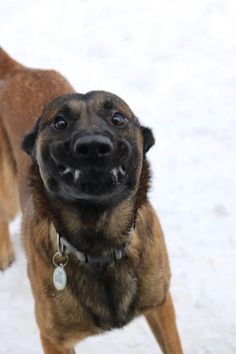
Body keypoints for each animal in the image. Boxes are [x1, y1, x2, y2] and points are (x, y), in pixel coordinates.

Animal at [0, 47, 183, 354]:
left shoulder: (161, 305)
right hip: (8, 189)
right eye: (60, 123)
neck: (101, 241)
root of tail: (18, 71)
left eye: (118, 119)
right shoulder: (54, 339)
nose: (93, 146)